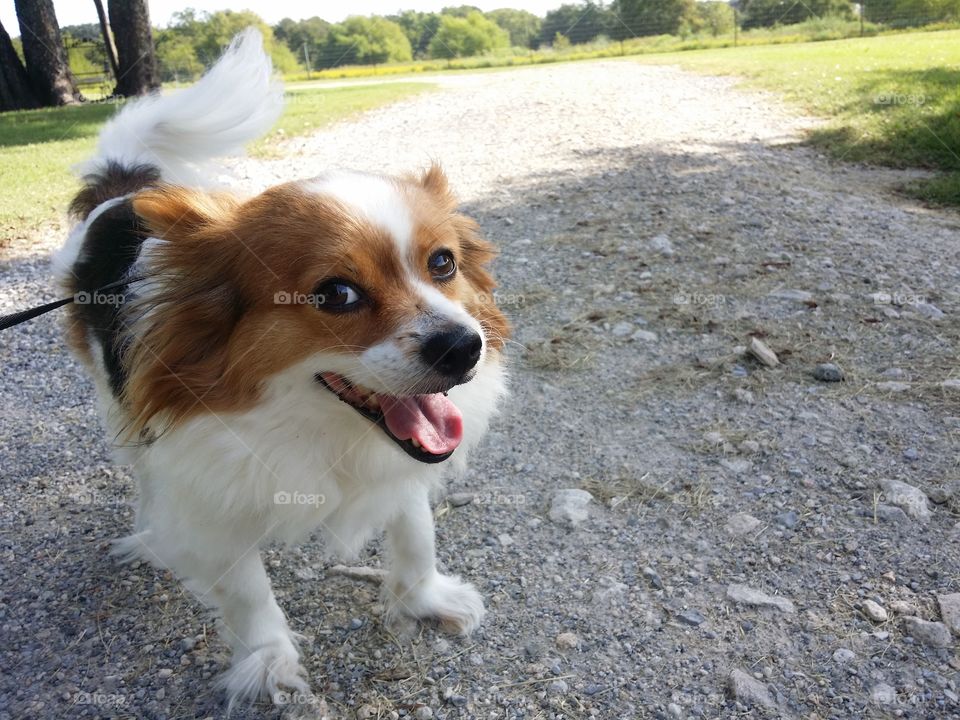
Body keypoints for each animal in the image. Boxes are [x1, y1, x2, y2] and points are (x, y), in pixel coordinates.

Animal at [54, 29, 510, 708]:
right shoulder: (211, 494)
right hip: (118, 405)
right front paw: (268, 662)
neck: (314, 424)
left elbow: (415, 531)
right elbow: (248, 593)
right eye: (337, 294)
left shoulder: (400, 464)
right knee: (143, 471)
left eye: (443, 263)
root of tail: (122, 192)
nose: (463, 346)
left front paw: (424, 598)